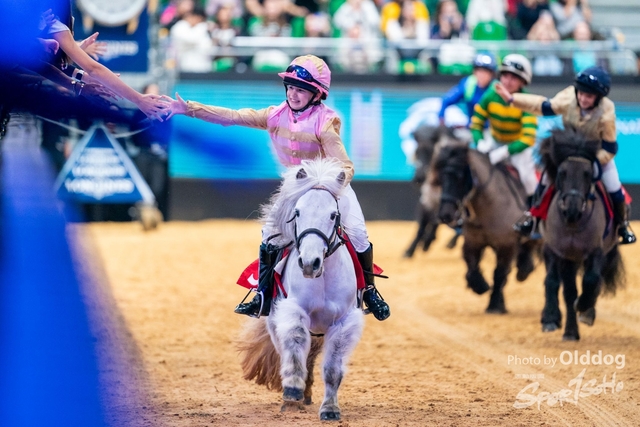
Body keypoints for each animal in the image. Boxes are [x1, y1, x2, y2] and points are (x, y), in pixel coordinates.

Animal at [237, 158, 364, 421]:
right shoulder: (293, 309)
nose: (308, 263)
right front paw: (292, 390)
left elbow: (332, 368)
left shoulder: (344, 321)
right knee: (289, 350)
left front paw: (330, 409)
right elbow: (295, 344)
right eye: (297, 212)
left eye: (333, 215)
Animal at [433, 129, 539, 313]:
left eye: (460, 176)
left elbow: (499, 273)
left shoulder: (506, 245)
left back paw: (525, 269)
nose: (445, 215)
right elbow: (472, 268)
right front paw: (480, 286)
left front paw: (494, 305)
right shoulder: (472, 242)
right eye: (440, 176)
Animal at [538, 127, 625, 341]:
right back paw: (565, 328)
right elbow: (556, 284)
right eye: (562, 172)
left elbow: (592, 280)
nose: (572, 210)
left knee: (593, 282)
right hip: (564, 255)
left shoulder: (597, 251)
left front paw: (584, 307)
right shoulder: (557, 251)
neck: (573, 224)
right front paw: (553, 320)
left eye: (588, 174)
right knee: (564, 287)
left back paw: (584, 314)